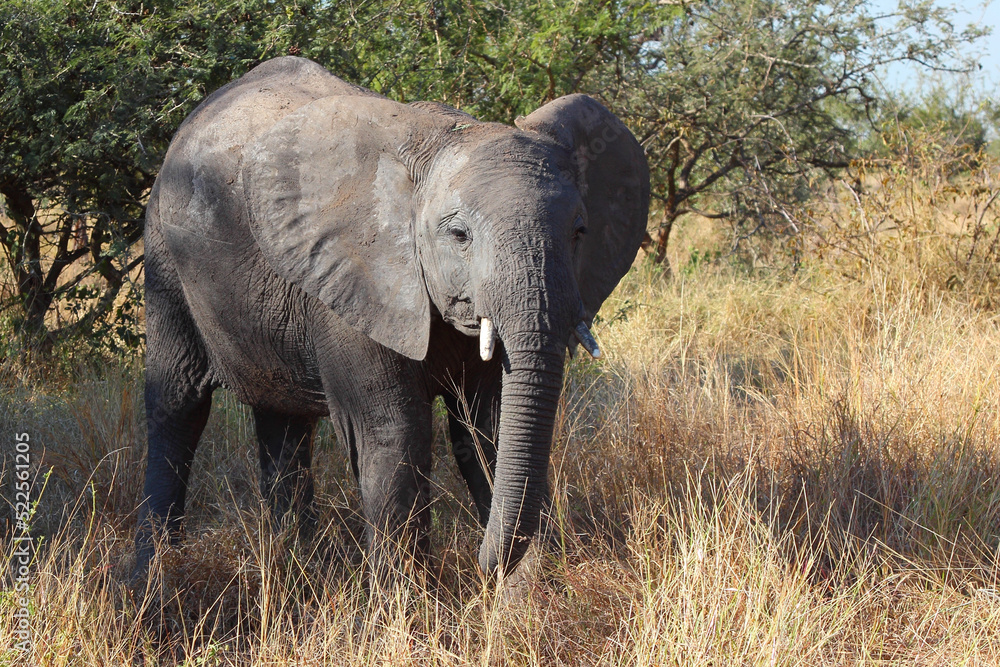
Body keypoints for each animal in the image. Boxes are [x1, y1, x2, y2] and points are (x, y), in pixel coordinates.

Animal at [133, 57, 648, 584]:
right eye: (459, 234)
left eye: (580, 231)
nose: (481, 563)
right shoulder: (354, 280)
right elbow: (394, 431)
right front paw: (409, 603)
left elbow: (492, 425)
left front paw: (524, 594)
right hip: (163, 255)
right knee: (177, 406)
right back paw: (152, 575)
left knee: (284, 421)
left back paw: (299, 569)